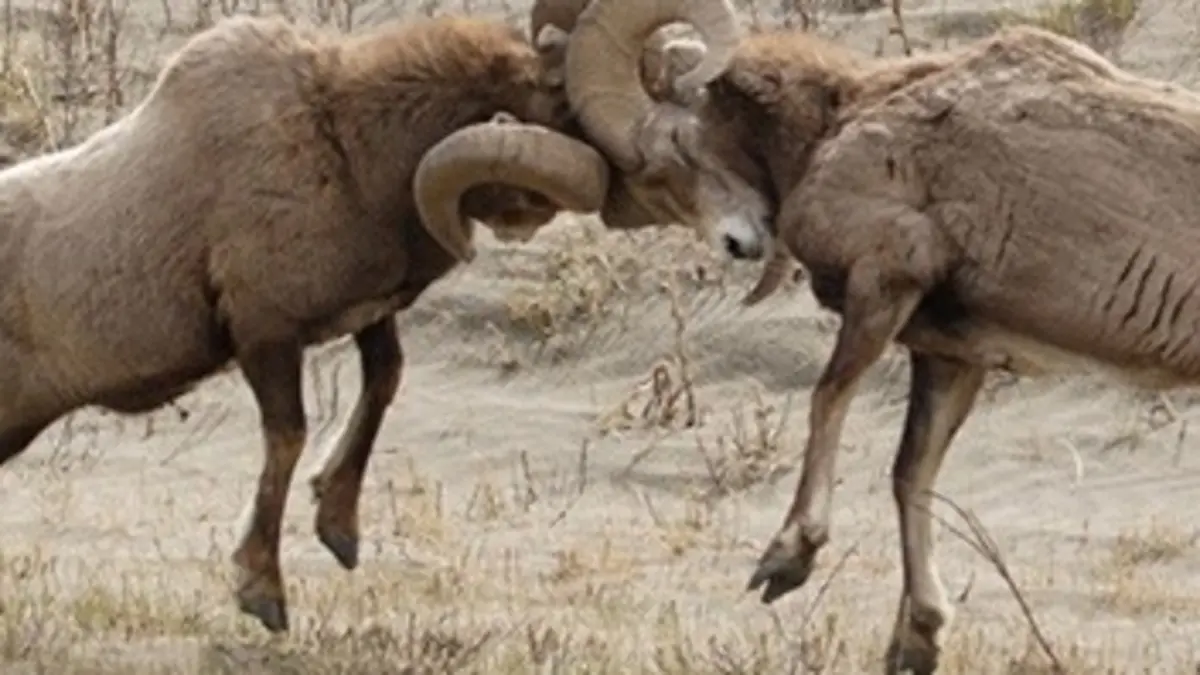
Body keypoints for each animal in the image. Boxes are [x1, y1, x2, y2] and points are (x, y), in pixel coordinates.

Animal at [0, 13, 617, 633]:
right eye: (561, 104)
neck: (343, 147)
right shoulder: (266, 334)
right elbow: (289, 438)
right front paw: (262, 593)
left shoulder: (368, 317)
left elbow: (383, 382)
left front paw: (338, 532)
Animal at [540, 1, 1200, 671]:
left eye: (673, 144)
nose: (737, 243)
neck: (840, 125)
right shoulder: (949, 355)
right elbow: (911, 473)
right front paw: (918, 639)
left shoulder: (883, 287)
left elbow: (826, 399)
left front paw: (788, 559)